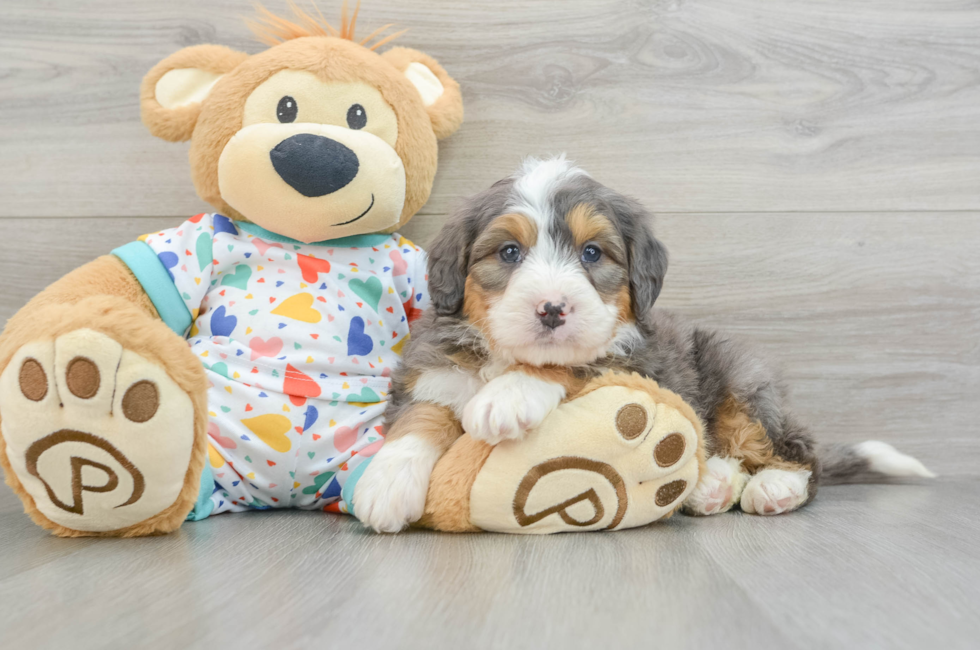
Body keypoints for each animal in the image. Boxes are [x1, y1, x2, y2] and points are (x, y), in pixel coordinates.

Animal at [354, 156, 936, 532]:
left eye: (592, 253)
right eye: (509, 252)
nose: (552, 309)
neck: (507, 356)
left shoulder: (637, 359)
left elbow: (576, 362)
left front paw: (509, 396)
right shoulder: (436, 367)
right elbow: (421, 416)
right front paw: (387, 482)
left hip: (741, 380)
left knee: (797, 452)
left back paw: (772, 487)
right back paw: (711, 484)